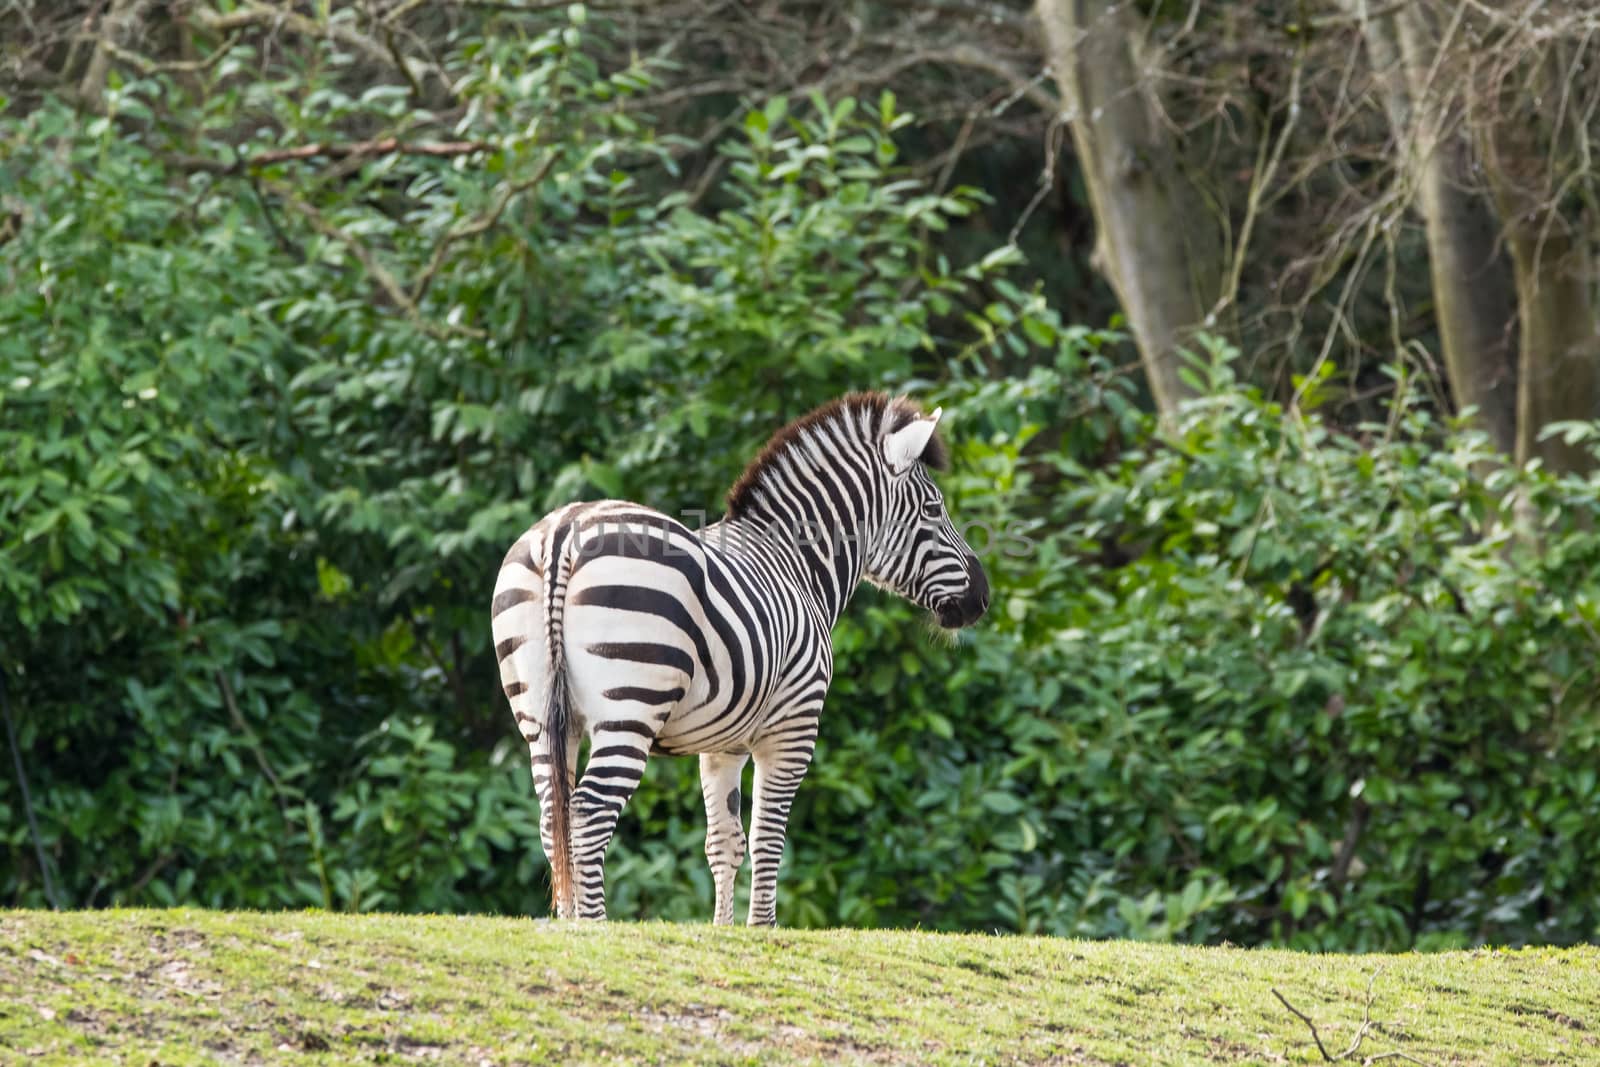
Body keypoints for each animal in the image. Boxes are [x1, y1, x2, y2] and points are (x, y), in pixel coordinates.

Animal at [486, 395, 985, 927]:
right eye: (934, 510)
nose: (983, 597)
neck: (797, 563)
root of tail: (565, 530)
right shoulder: (792, 728)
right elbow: (768, 838)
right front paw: (762, 929)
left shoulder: (722, 745)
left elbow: (724, 841)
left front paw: (723, 932)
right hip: (631, 707)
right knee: (589, 814)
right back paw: (595, 929)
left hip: (541, 716)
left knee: (551, 818)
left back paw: (568, 925)